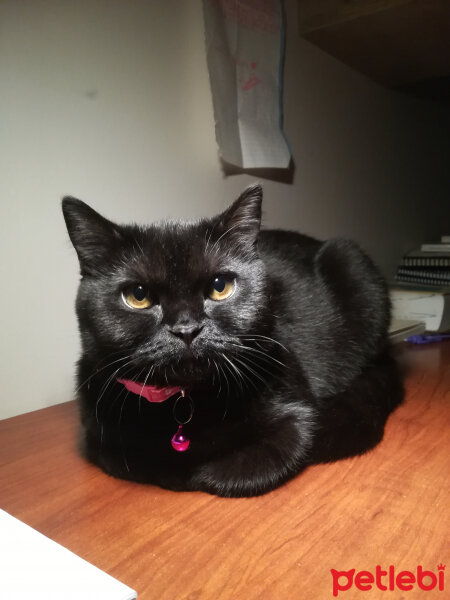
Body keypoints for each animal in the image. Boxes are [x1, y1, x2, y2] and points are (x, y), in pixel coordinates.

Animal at [61, 186, 402, 496]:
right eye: (138, 296)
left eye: (220, 286)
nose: (187, 328)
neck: (187, 402)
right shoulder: (97, 432)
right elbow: (129, 459)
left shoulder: (297, 419)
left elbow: (229, 474)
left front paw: (192, 473)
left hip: (351, 262)